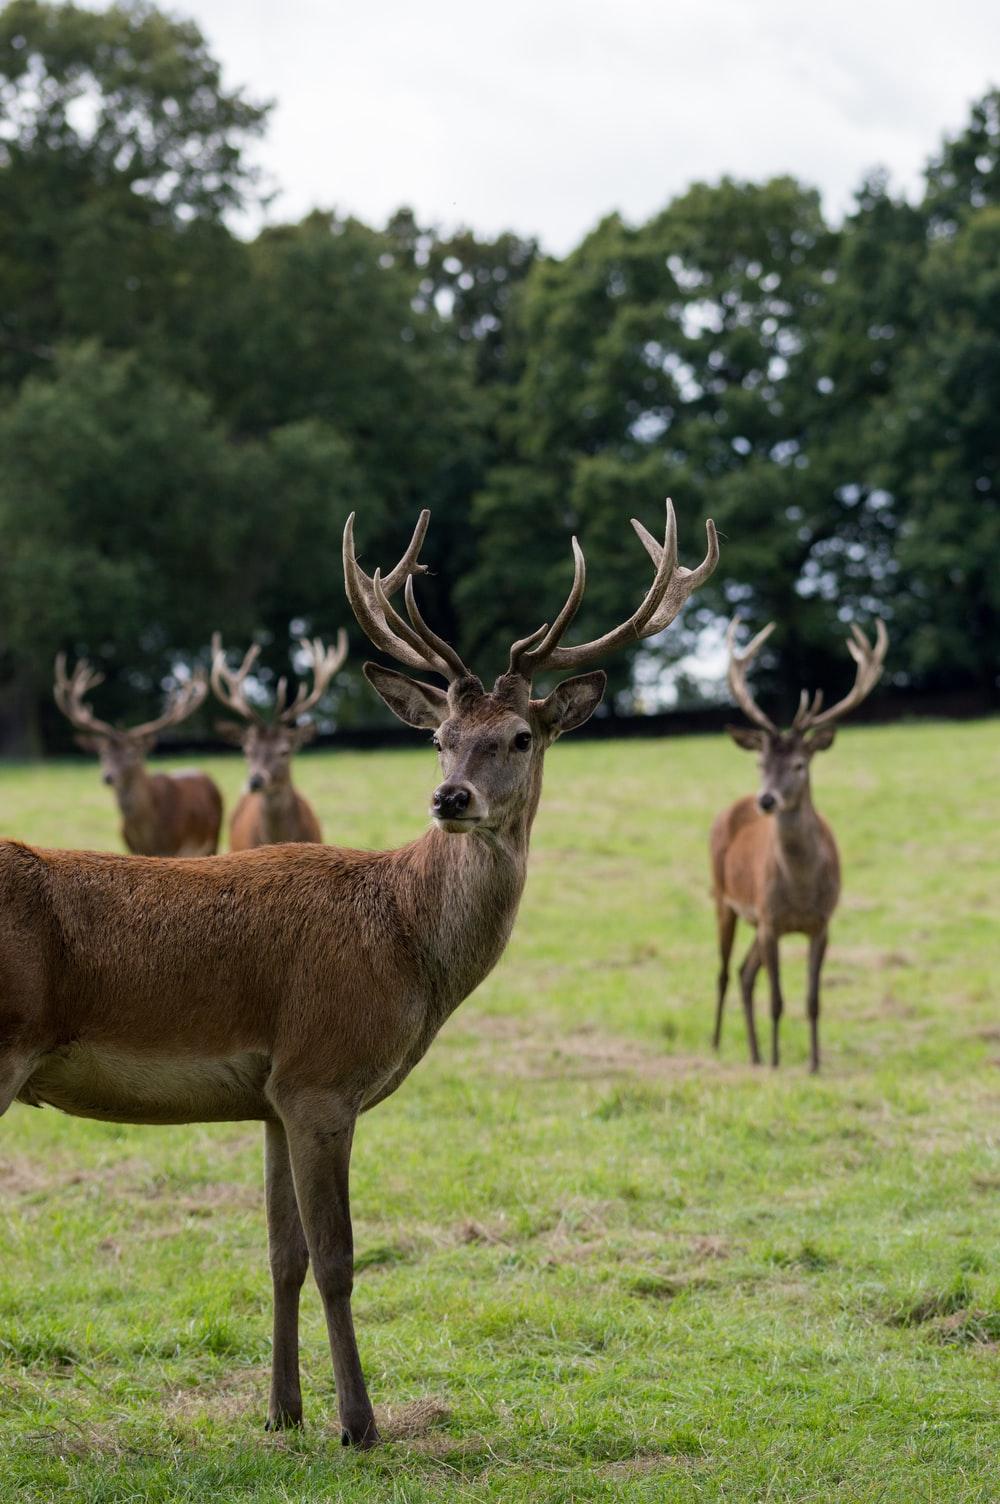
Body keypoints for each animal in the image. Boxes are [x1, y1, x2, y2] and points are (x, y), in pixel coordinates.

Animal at [53, 655, 223, 857]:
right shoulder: (131, 847)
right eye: (103, 753)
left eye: (132, 753)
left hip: (213, 837)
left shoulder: (174, 848)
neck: (148, 836)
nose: (108, 777)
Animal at [710, 616, 888, 1073]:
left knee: (744, 973)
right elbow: (777, 1000)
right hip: (722, 898)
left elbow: (812, 1000)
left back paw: (754, 1054)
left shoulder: (821, 923)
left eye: (799, 764)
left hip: (754, 921)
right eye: (760, 762)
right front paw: (778, 1064)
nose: (766, 800)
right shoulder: (771, 920)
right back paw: (719, 1045)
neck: (801, 890)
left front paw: (813, 1064)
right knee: (724, 972)